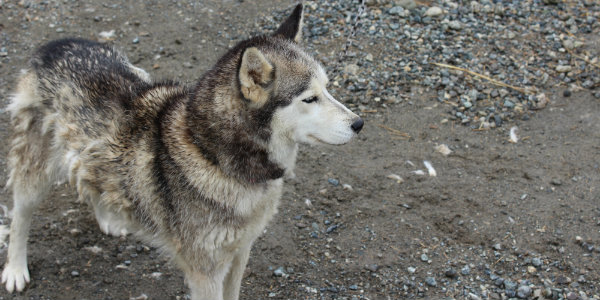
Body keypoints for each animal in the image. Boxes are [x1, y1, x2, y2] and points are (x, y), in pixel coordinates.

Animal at [1, 3, 360, 298]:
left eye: (328, 88)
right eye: (309, 99)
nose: (359, 123)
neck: (214, 155)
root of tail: (53, 45)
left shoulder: (240, 253)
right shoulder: (205, 271)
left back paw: (107, 216)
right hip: (34, 175)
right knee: (20, 216)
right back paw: (15, 270)